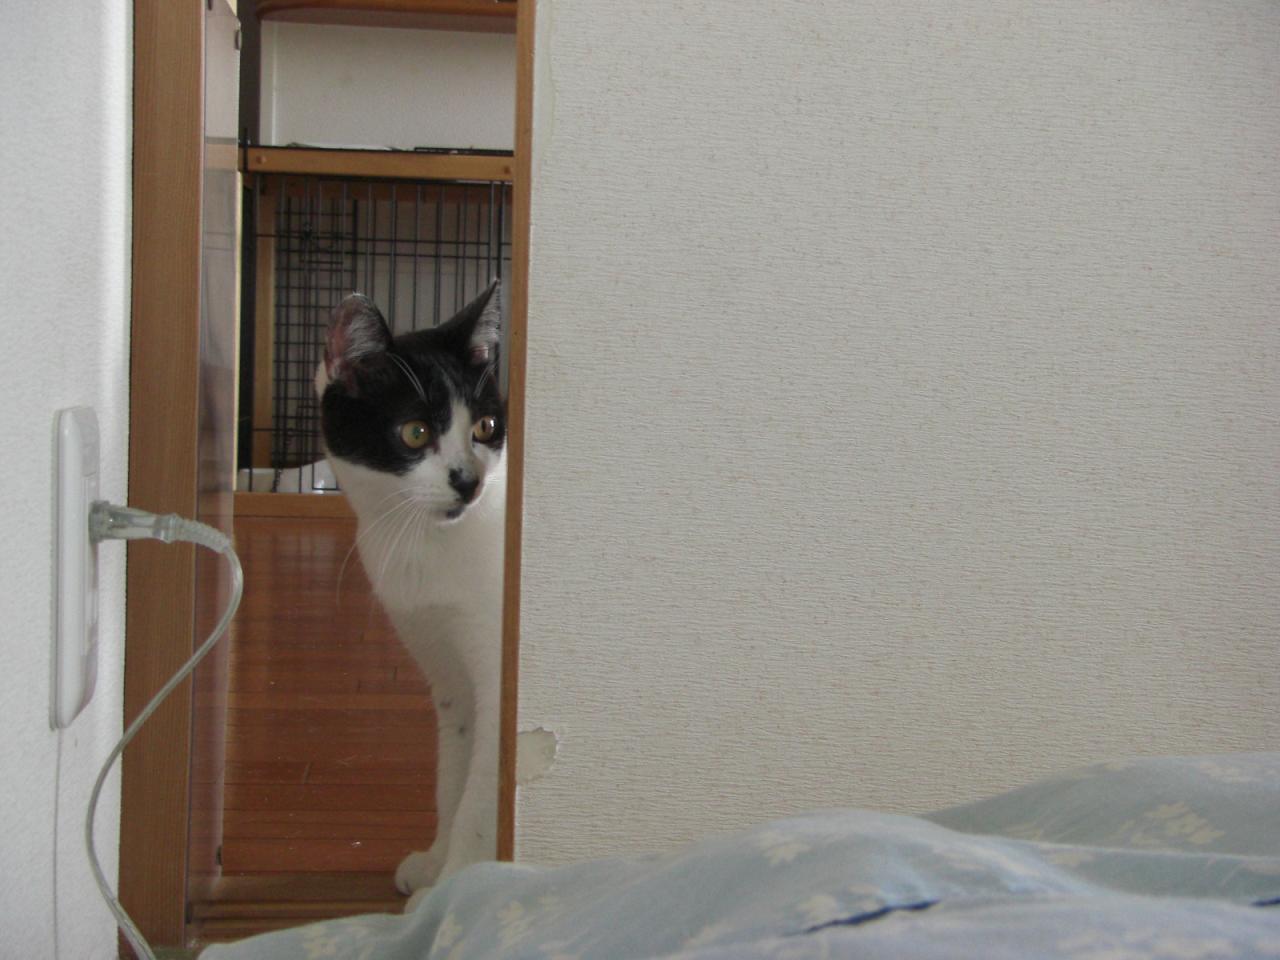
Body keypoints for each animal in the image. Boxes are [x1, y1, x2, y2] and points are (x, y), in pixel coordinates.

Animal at [315, 280, 506, 896]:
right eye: (415, 432)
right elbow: (452, 773)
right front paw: (435, 862)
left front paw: (459, 881)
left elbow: (480, 793)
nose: (468, 481)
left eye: (485, 428)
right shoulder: (446, 668)